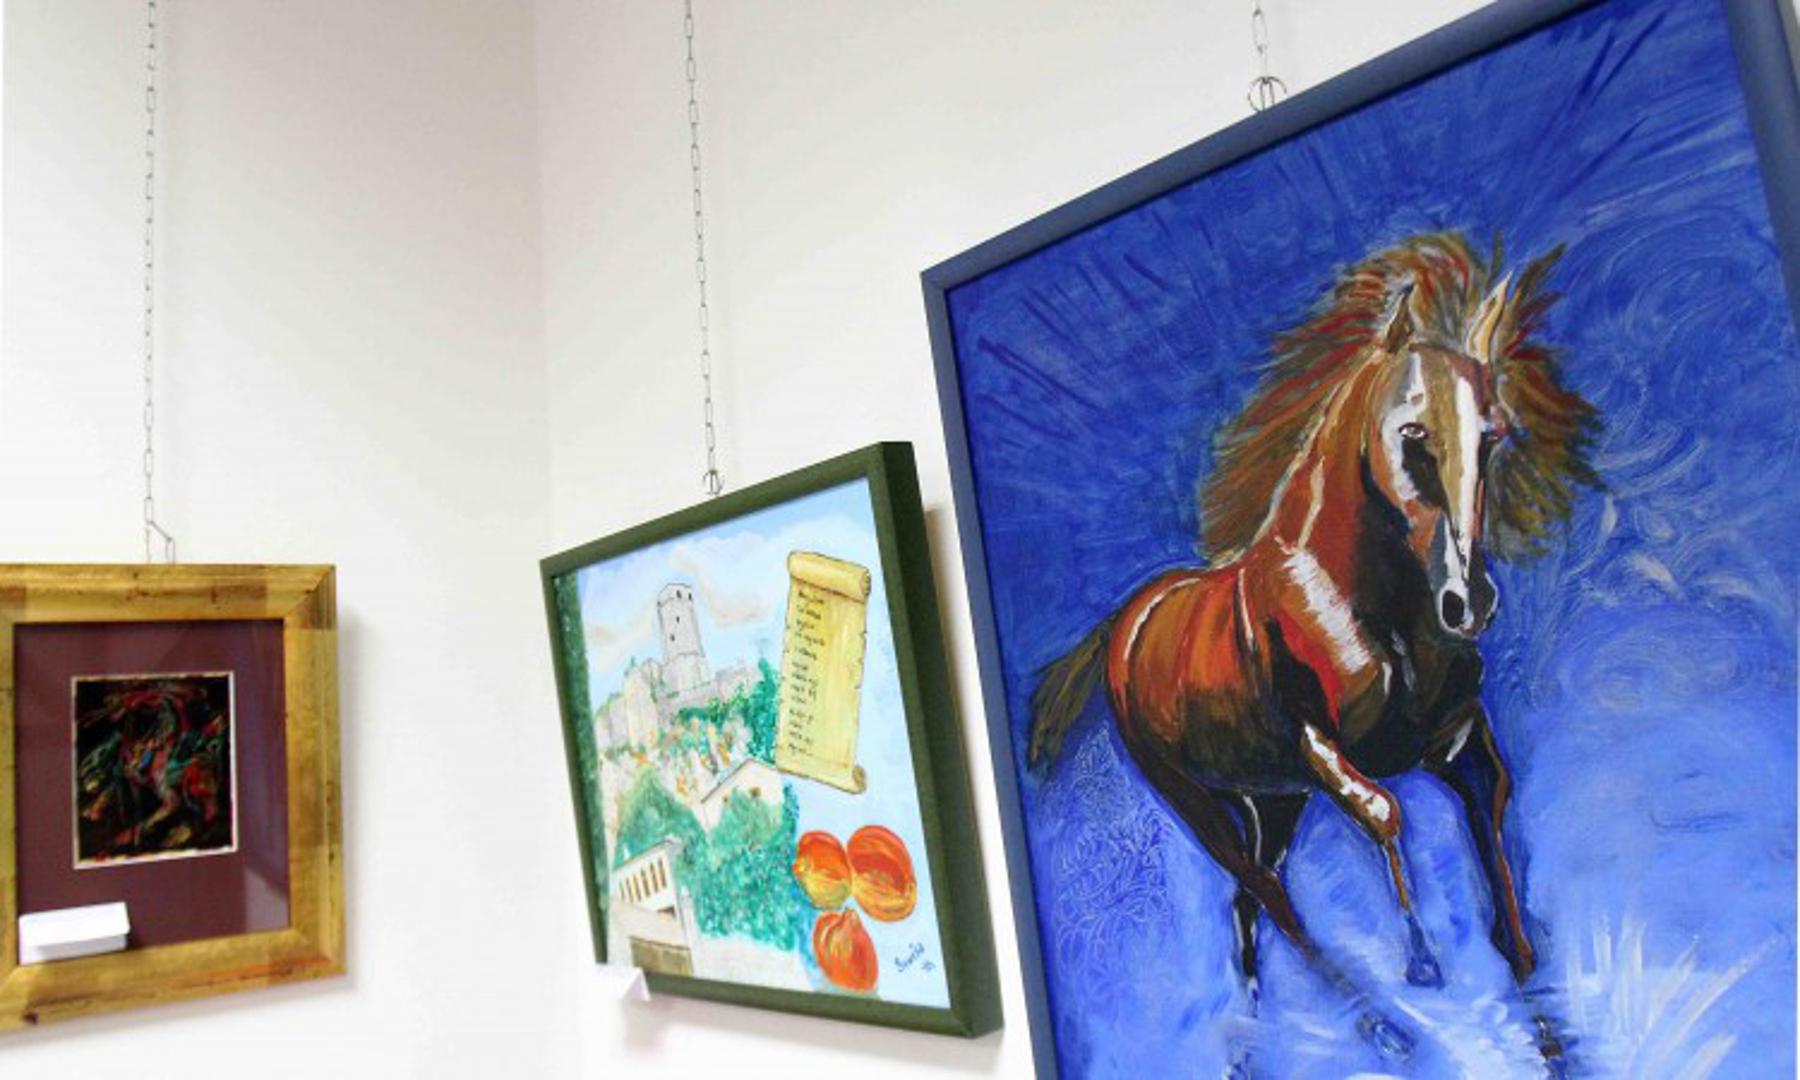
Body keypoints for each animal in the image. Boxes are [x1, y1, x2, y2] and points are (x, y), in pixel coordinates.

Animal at [1028, 231, 1598, 1056]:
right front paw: (1422, 958)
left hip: (1271, 802)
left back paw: (1253, 1041)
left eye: (1492, 436)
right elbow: (1386, 814)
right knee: (1273, 901)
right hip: (1195, 800)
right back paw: (1383, 1030)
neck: (1365, 608)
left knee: (1248, 904)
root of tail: (1128, 622)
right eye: (1414, 433)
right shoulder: (1318, 750)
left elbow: (1505, 899)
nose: (1470, 603)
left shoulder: (1461, 752)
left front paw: (1551, 1035)